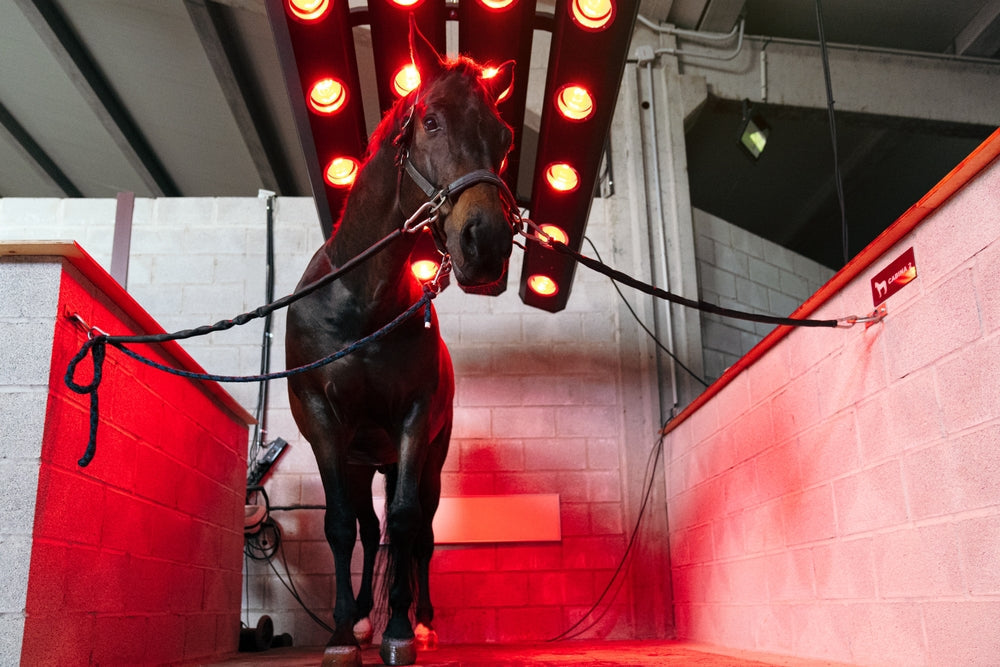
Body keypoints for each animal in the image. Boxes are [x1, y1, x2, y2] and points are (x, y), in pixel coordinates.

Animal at [284, 19, 517, 667]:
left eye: (505, 137)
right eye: (431, 120)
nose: (488, 242)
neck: (361, 306)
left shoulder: (413, 420)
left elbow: (410, 523)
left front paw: (399, 630)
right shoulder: (324, 425)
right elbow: (341, 526)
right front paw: (344, 633)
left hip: (423, 456)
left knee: (419, 534)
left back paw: (422, 620)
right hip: (361, 459)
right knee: (367, 527)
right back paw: (364, 615)